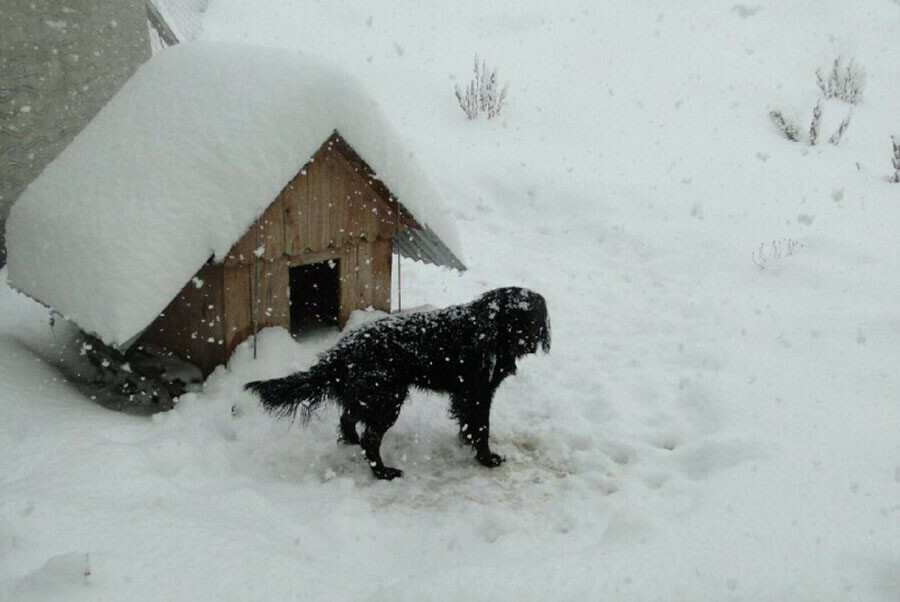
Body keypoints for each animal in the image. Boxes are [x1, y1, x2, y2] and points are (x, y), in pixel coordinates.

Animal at [244, 286, 548, 478]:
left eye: (534, 319)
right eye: (514, 318)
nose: (529, 342)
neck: (489, 333)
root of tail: (343, 349)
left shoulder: (466, 393)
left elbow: (469, 423)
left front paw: (467, 443)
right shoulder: (479, 390)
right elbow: (482, 427)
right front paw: (487, 458)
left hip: (371, 395)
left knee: (348, 418)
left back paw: (351, 441)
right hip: (387, 399)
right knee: (370, 438)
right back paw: (383, 472)